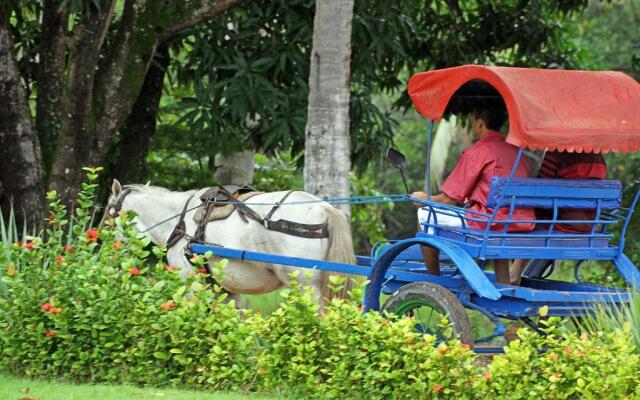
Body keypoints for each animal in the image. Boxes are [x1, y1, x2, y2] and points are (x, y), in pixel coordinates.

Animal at [104, 180, 356, 308]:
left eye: (108, 214)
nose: (107, 251)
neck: (178, 220)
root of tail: (324, 208)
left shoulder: (189, 282)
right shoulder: (224, 288)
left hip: (306, 288)